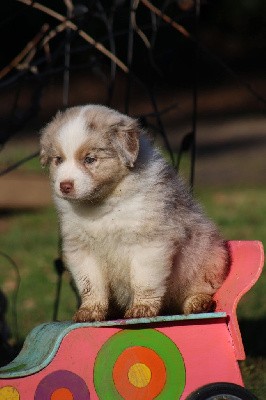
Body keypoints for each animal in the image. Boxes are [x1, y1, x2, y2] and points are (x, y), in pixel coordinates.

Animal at [40, 104, 229, 322]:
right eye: (58, 160)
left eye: (89, 159)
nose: (65, 186)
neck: (101, 206)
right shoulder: (81, 248)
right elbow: (90, 284)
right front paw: (89, 311)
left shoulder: (148, 243)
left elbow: (143, 280)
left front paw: (141, 308)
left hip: (209, 259)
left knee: (202, 288)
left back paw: (198, 302)